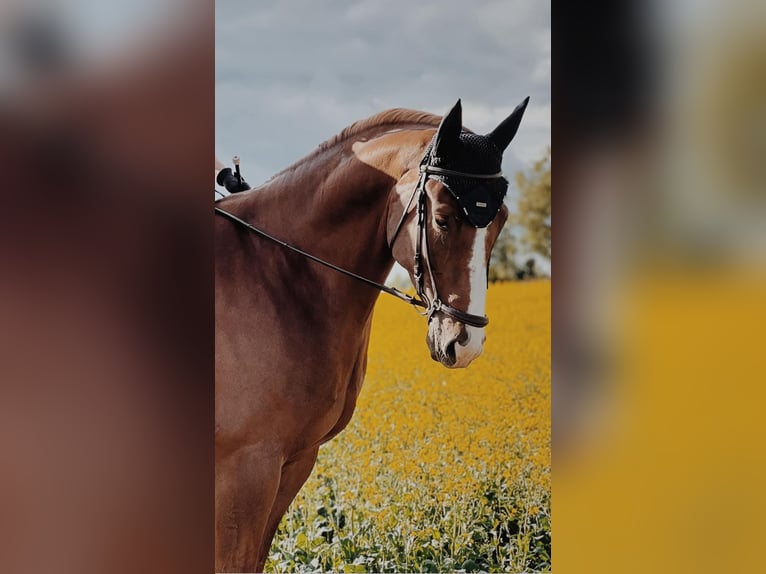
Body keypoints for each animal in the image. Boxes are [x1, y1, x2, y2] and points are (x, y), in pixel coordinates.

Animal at [214, 97, 528, 572]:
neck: (279, 276)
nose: (465, 344)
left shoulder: (295, 461)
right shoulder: (246, 469)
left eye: (501, 220)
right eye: (442, 219)